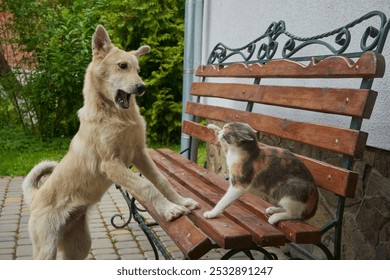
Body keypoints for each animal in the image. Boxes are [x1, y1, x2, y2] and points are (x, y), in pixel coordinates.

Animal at [21, 25, 198, 260]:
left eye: (138, 69)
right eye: (122, 66)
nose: (142, 87)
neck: (116, 115)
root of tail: (36, 196)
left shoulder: (140, 154)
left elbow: (161, 180)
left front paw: (181, 201)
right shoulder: (111, 163)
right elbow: (146, 185)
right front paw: (169, 210)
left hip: (79, 245)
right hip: (47, 248)